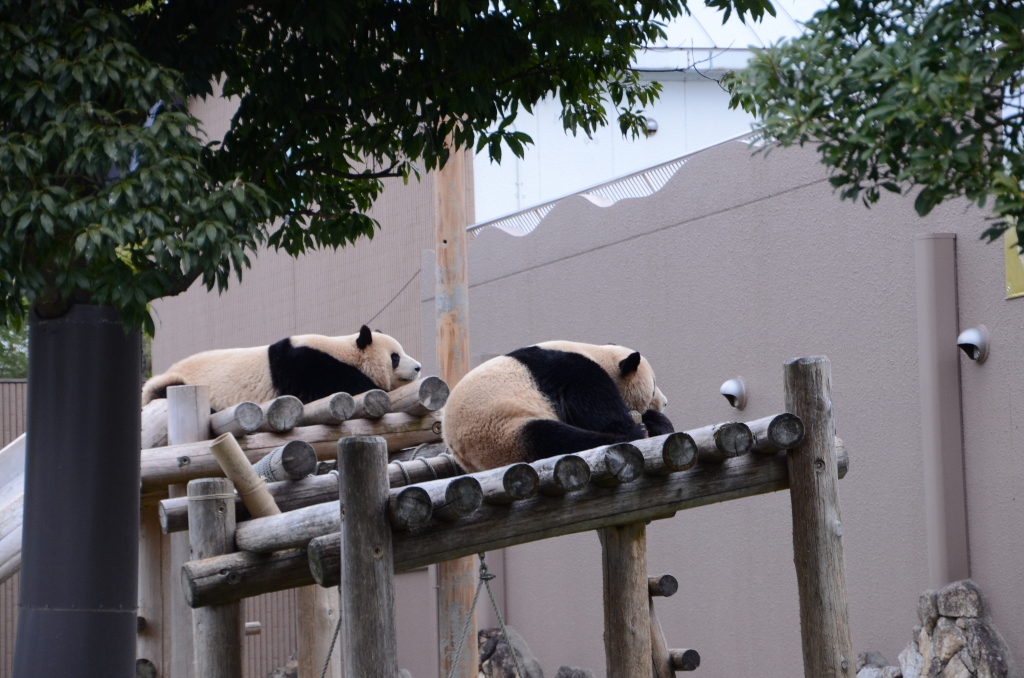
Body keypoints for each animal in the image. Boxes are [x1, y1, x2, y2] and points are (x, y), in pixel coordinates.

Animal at [442, 340, 671, 473]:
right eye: (653, 387)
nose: (665, 402)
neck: (597, 354)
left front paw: (658, 422)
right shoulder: (570, 371)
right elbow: (599, 411)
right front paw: (636, 426)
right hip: (501, 429)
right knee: (554, 438)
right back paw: (631, 435)